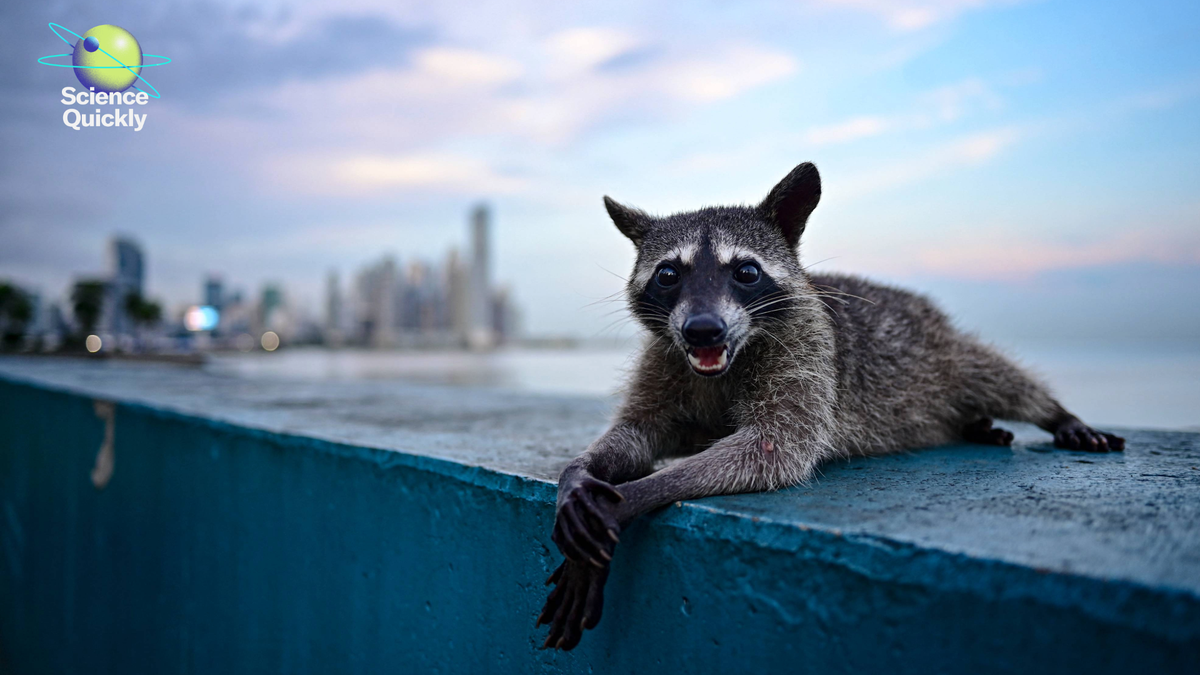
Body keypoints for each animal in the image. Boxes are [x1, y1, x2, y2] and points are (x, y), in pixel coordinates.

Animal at [536, 162, 1124, 650]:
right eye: (668, 274)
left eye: (744, 272)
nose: (702, 329)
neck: (726, 359)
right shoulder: (666, 360)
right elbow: (638, 433)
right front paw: (579, 476)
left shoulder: (807, 353)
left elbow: (773, 449)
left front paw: (628, 499)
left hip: (943, 351)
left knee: (994, 373)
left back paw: (1053, 413)